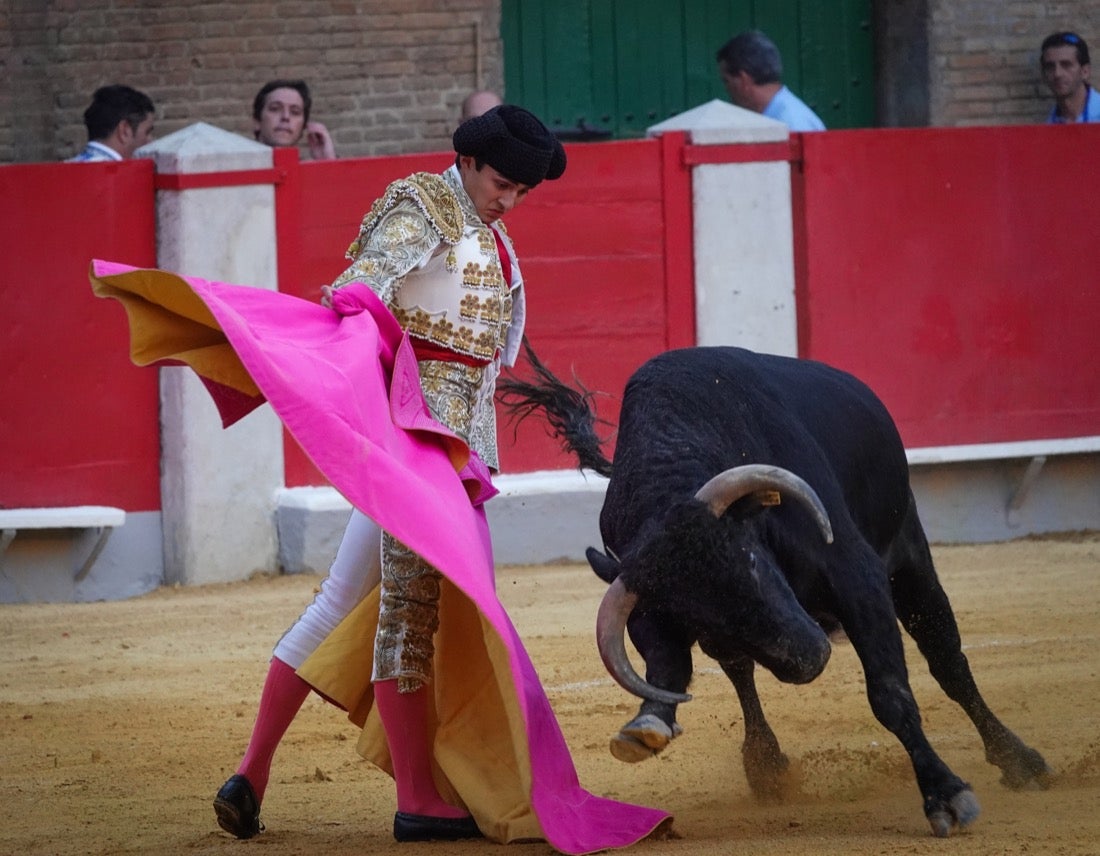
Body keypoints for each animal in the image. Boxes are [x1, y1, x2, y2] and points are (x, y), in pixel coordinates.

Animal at [499, 341, 1047, 831]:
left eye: (752, 560)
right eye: (695, 616)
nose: (809, 658)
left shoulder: (859, 578)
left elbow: (891, 694)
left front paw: (945, 795)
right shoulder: (647, 604)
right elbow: (668, 666)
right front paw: (648, 725)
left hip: (910, 557)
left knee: (949, 663)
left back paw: (1021, 761)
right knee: (742, 673)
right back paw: (765, 766)